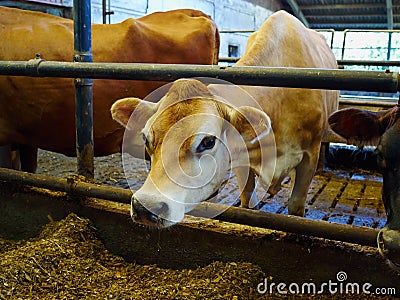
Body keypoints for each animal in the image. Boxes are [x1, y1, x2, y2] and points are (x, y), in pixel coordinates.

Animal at [111, 11, 340, 227]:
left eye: (208, 141)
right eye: (145, 138)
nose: (145, 206)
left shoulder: (310, 155)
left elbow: (296, 205)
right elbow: (248, 199)